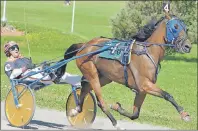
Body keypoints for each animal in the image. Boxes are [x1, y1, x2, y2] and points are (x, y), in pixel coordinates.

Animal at [55, 11, 192, 128]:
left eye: (186, 28)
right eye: (175, 26)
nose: (188, 46)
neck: (147, 53)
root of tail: (84, 45)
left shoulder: (142, 90)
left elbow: (135, 114)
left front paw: (117, 107)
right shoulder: (145, 85)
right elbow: (168, 95)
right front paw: (184, 114)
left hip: (105, 77)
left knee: (85, 88)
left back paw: (75, 110)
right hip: (91, 72)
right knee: (100, 100)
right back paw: (116, 124)